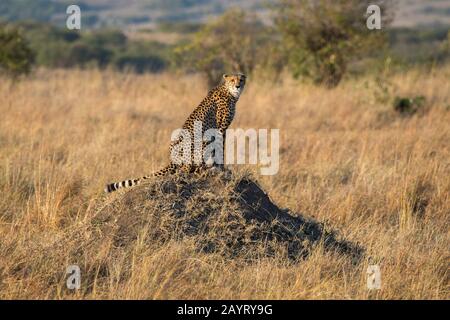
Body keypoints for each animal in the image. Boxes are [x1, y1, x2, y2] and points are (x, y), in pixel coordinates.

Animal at [105, 72, 246, 192]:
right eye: (232, 80)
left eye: (241, 80)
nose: (238, 86)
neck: (229, 92)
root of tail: (171, 161)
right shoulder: (220, 129)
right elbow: (220, 149)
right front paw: (221, 168)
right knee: (185, 170)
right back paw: (203, 170)